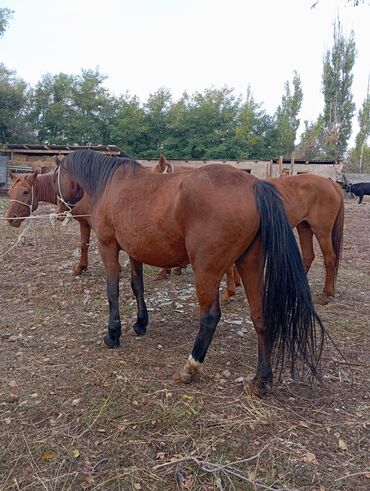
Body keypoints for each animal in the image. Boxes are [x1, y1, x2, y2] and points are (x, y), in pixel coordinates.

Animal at [53, 149, 326, 396]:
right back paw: (261, 380)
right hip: (250, 264)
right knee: (260, 315)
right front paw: (141, 323)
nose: (59, 212)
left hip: (206, 270)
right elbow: (137, 286)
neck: (111, 184)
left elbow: (113, 291)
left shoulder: (108, 246)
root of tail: (253, 185)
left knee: (210, 316)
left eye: (56, 174)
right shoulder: (134, 252)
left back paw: (190, 367)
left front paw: (113, 334)